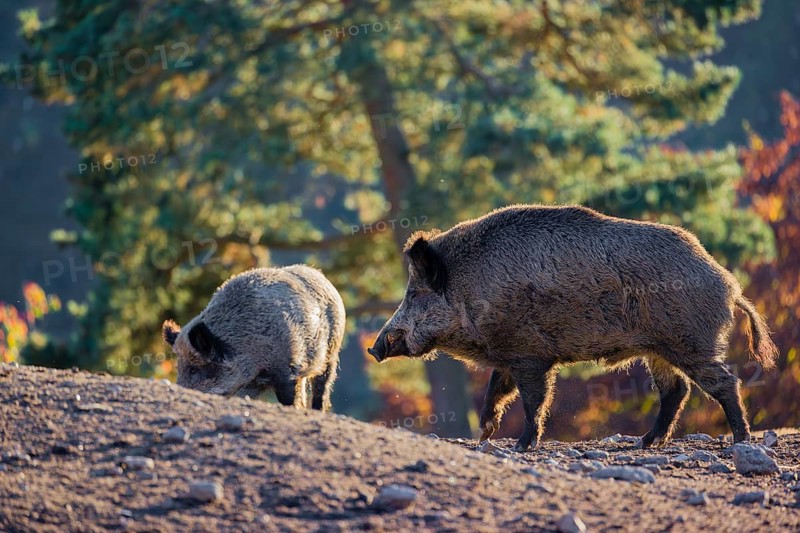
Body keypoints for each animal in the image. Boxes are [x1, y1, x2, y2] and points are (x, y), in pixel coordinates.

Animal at [162, 265, 345, 411]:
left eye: (194, 369)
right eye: (178, 367)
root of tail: (322, 277)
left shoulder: (287, 370)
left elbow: (289, 400)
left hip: (331, 352)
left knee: (322, 389)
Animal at [368, 205, 778, 451]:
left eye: (415, 293)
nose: (374, 348)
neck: (471, 288)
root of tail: (728, 284)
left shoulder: (529, 354)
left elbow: (533, 400)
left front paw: (521, 445)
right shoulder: (509, 353)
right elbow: (496, 390)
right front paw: (486, 432)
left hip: (690, 342)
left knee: (724, 382)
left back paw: (741, 440)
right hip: (658, 349)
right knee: (676, 390)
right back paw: (644, 443)